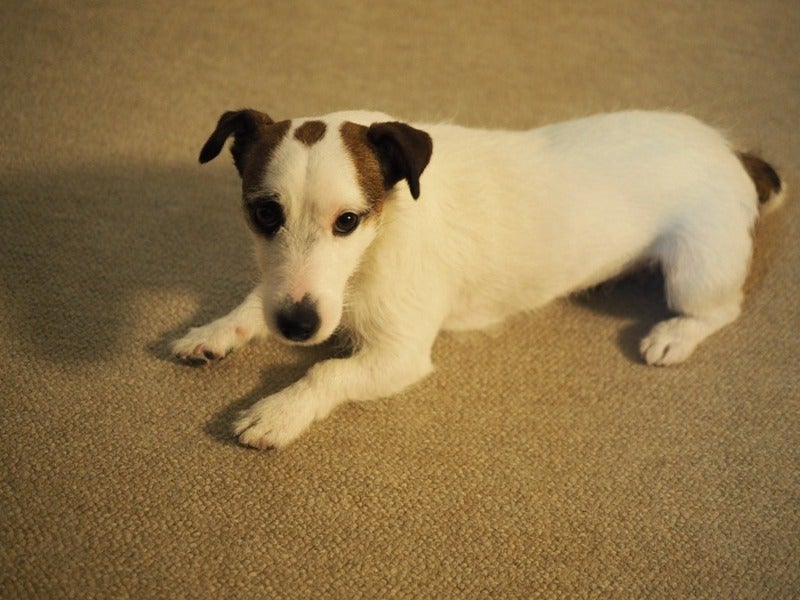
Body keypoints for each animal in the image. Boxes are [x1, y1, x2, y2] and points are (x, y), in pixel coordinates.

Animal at [172, 109, 784, 449]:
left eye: (347, 221)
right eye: (264, 214)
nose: (298, 326)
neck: (382, 235)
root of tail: (733, 152)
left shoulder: (399, 356)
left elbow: (326, 372)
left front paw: (279, 411)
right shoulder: (286, 290)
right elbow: (253, 304)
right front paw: (215, 331)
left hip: (695, 269)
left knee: (720, 309)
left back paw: (675, 335)